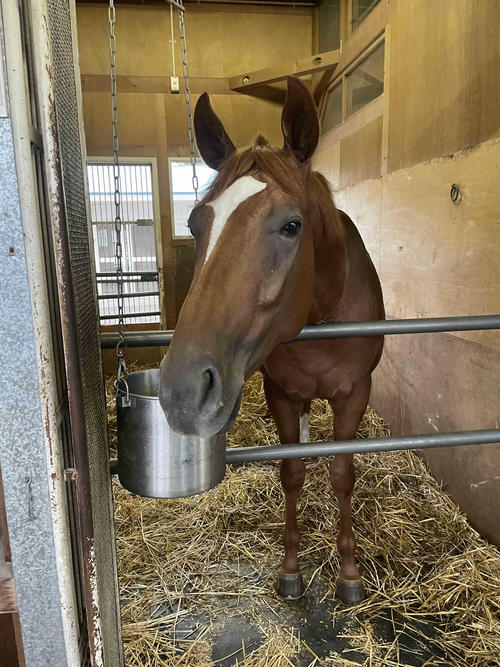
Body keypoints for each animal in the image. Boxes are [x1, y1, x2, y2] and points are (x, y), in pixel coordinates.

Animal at [160, 76, 385, 604]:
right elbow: (292, 472)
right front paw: (291, 568)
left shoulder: (355, 394)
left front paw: (349, 573)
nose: (182, 392)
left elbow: (342, 475)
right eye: (195, 223)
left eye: (291, 225)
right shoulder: (282, 393)